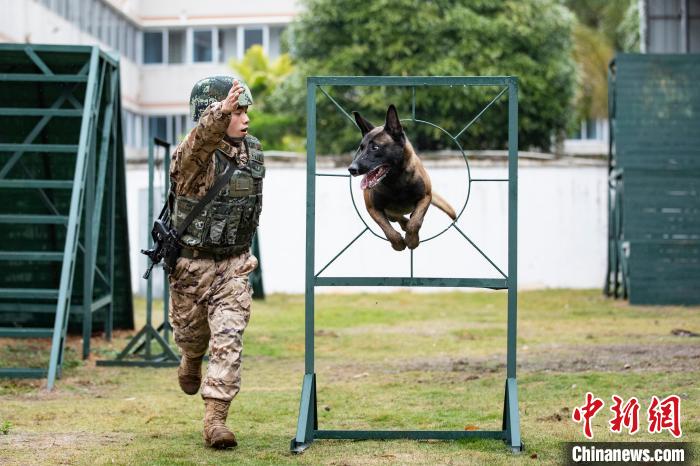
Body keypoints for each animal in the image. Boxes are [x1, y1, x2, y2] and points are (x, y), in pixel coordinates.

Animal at [348, 104, 456, 251]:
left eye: (375, 147)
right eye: (361, 148)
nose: (351, 169)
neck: (396, 181)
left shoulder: (426, 197)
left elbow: (415, 222)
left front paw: (412, 240)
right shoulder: (372, 208)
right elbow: (387, 229)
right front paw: (398, 243)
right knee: (395, 217)